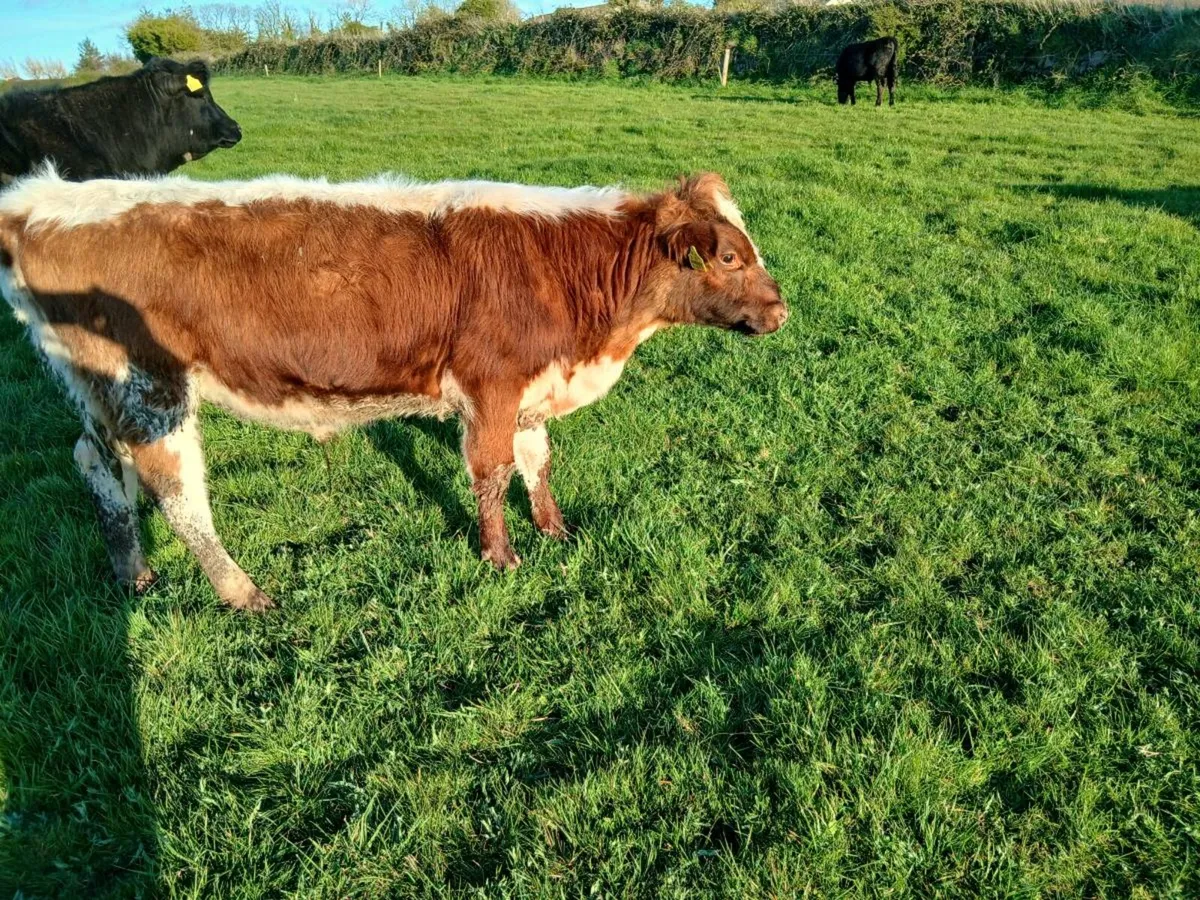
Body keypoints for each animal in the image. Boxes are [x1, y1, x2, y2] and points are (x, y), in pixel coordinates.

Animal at [0, 167, 787, 610]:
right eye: (727, 256)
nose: (781, 311)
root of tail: (39, 200)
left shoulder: (531, 383)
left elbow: (536, 461)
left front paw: (556, 529)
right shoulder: (490, 384)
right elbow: (491, 471)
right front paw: (501, 558)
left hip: (102, 392)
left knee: (99, 467)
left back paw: (133, 574)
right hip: (150, 388)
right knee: (177, 491)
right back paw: (242, 593)